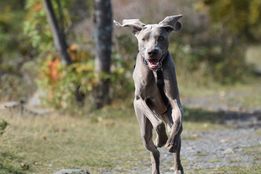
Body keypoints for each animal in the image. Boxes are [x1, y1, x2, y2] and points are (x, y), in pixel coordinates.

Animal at [114, 15, 183, 174]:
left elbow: (178, 119)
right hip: (144, 126)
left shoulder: (174, 99)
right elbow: (158, 124)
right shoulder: (139, 100)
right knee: (153, 150)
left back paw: (176, 161)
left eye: (161, 38)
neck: (156, 71)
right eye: (144, 39)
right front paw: (161, 139)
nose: (152, 52)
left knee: (177, 140)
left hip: (167, 115)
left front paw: (171, 142)